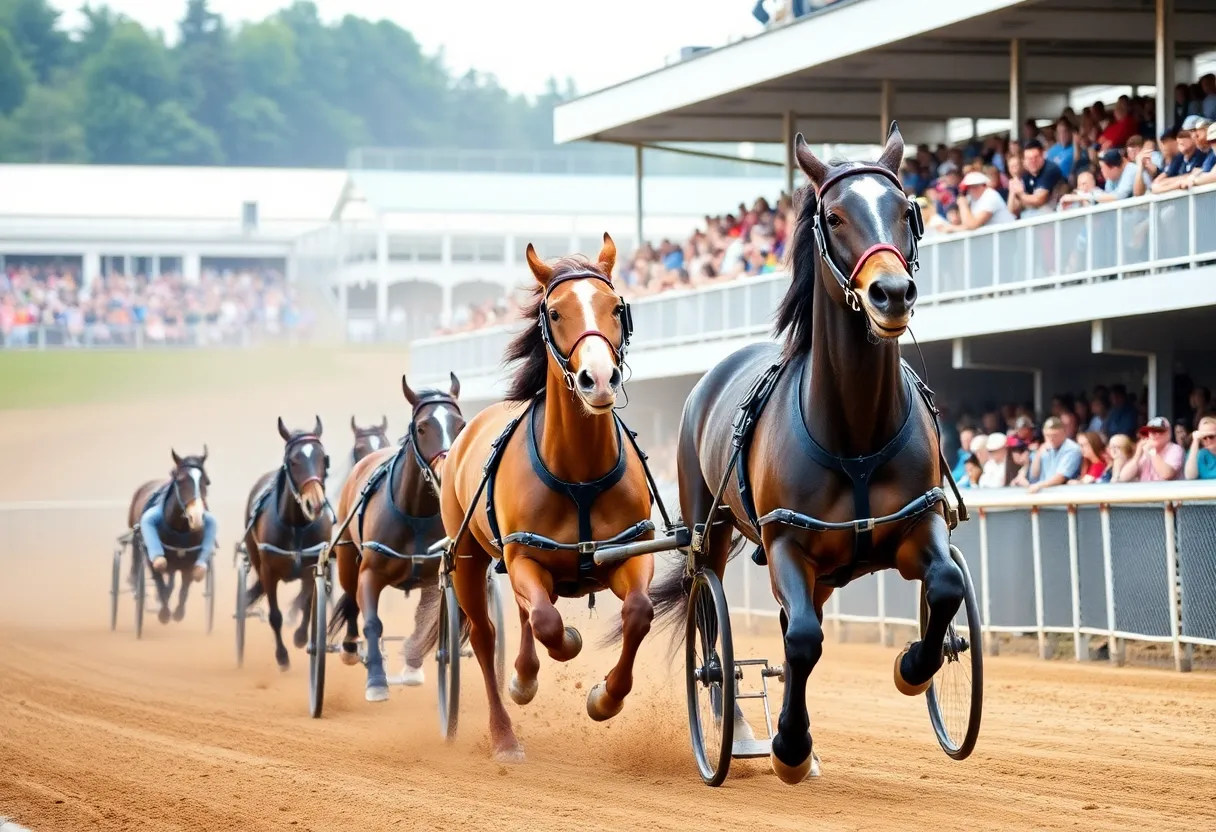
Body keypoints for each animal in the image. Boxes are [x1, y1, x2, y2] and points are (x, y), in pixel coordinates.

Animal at [127, 448, 218, 624]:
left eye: (206, 481)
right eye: (180, 480)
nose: (196, 517)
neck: (180, 531)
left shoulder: (190, 560)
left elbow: (185, 586)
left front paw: (178, 612)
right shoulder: (151, 555)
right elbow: (159, 573)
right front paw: (164, 613)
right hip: (136, 533)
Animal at [242, 417, 334, 670]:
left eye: (323, 458)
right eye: (293, 461)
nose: (315, 503)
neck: (296, 526)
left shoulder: (313, 566)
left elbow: (308, 603)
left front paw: (301, 637)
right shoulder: (268, 571)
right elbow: (275, 616)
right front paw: (282, 656)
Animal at [329, 373, 465, 701]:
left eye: (460, 425)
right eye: (422, 427)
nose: (447, 473)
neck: (414, 514)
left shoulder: (432, 576)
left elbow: (424, 619)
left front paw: (413, 665)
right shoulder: (370, 571)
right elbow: (371, 621)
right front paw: (377, 681)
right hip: (347, 557)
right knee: (350, 597)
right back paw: (350, 648)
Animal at [439, 234, 661, 762]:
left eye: (615, 307)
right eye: (556, 312)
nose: (598, 378)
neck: (578, 472)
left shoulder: (631, 550)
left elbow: (638, 613)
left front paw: (605, 697)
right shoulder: (523, 557)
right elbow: (546, 622)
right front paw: (565, 646)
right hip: (469, 557)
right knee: (487, 636)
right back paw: (505, 732)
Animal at [651, 124, 967, 784]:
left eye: (904, 210)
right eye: (836, 215)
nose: (891, 293)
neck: (854, 431)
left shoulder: (918, 521)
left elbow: (947, 584)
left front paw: (912, 666)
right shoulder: (786, 541)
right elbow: (800, 639)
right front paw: (790, 747)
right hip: (708, 529)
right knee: (710, 617)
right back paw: (733, 724)